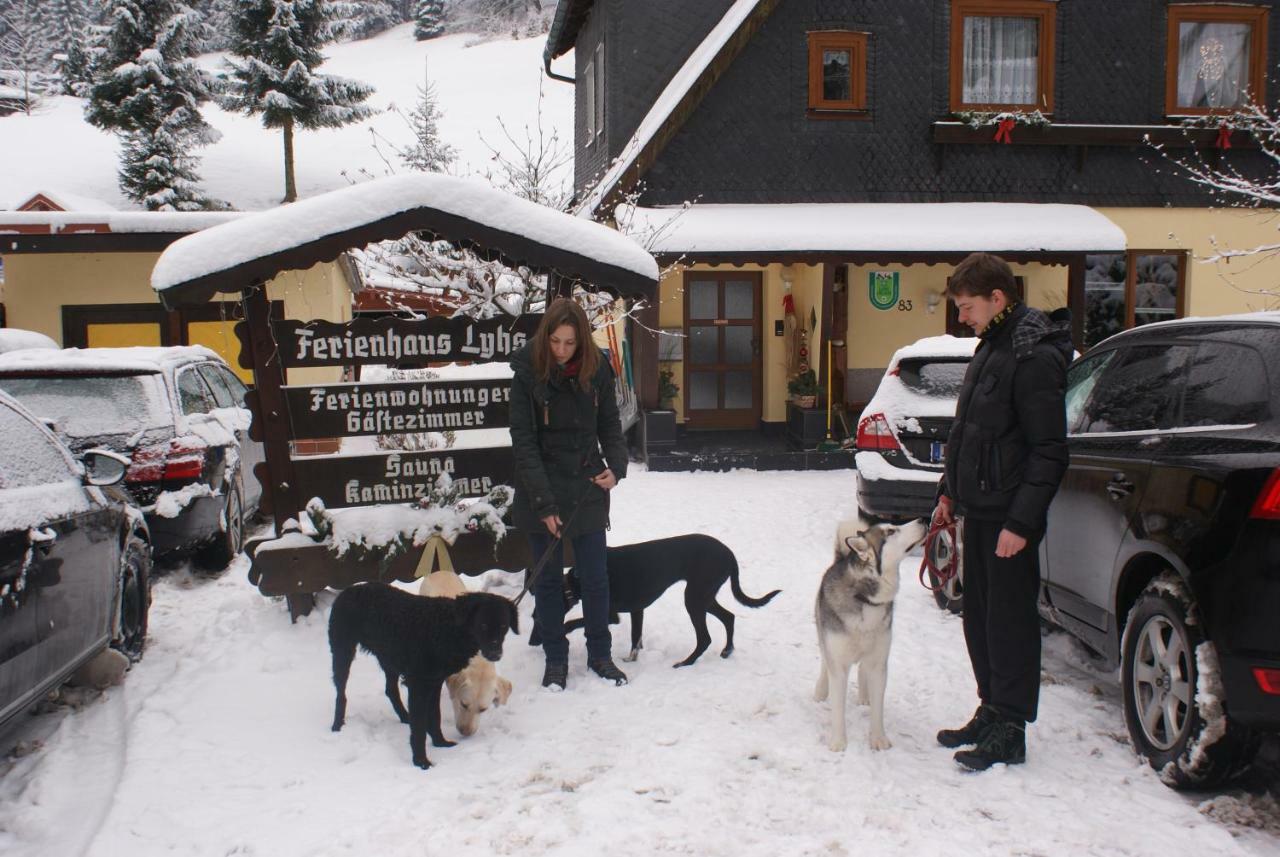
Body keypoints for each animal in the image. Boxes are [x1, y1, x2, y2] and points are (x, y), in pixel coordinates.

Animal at [330, 583, 519, 772]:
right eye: (483, 624)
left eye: (504, 626)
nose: (496, 654)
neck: (447, 628)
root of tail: (350, 589)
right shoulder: (418, 684)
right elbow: (420, 728)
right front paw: (421, 761)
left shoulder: (435, 682)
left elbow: (435, 716)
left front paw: (440, 743)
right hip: (342, 651)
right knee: (341, 694)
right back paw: (337, 725)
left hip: (389, 658)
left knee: (390, 690)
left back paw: (405, 717)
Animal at [529, 537, 778, 670]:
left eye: (536, 619)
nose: (532, 642)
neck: (577, 578)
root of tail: (729, 554)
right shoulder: (636, 610)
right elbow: (635, 637)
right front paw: (632, 659)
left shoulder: (611, 615)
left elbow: (573, 622)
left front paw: (561, 631)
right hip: (704, 596)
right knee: (729, 617)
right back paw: (727, 651)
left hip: (694, 599)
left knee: (705, 638)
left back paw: (685, 663)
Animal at [814, 516, 926, 752]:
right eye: (891, 531)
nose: (923, 519)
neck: (866, 599)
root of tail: (841, 557)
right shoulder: (838, 661)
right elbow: (838, 706)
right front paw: (838, 741)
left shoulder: (879, 662)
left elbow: (878, 707)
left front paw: (878, 738)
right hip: (823, 632)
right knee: (824, 661)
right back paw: (820, 690)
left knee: (862, 668)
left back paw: (864, 696)